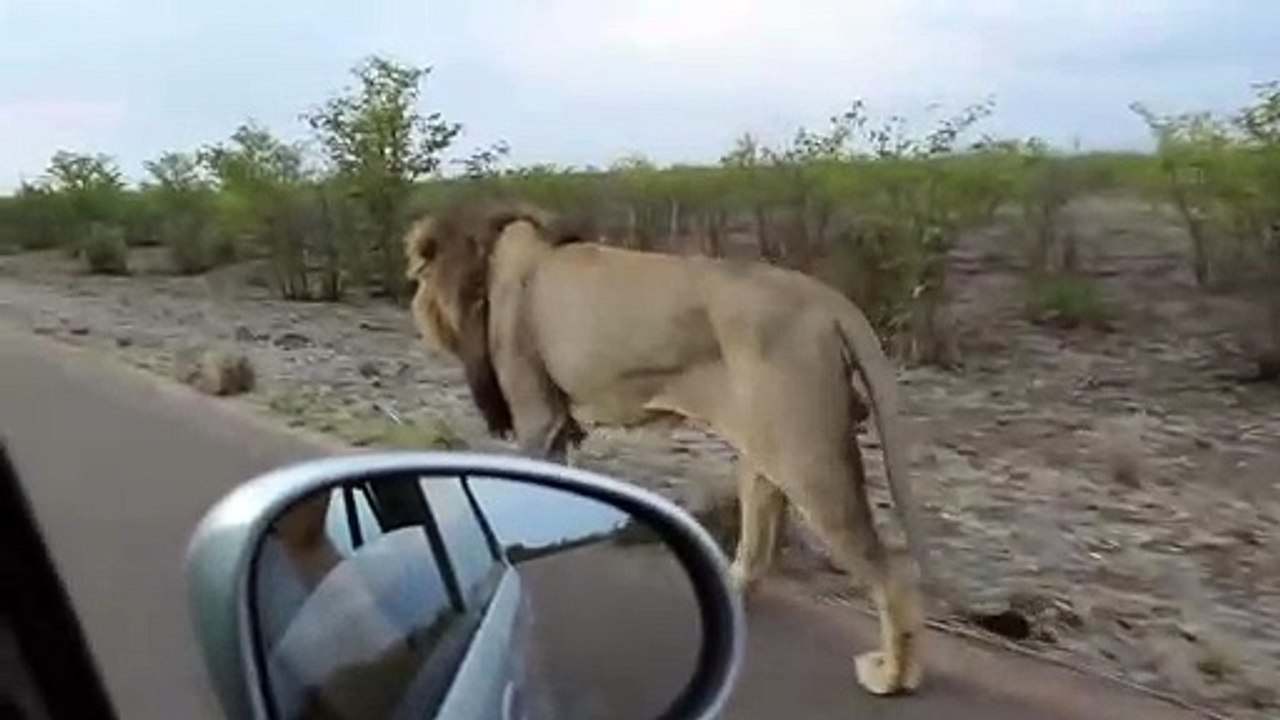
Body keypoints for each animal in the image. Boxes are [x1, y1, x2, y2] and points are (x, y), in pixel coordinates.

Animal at [402, 200, 928, 696]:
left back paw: (892, 675)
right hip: (765, 449)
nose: (416, 305)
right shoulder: (555, 420)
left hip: (807, 455)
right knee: (759, 543)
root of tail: (828, 301)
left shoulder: (537, 413)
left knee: (890, 574)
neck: (487, 262)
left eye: (420, 277)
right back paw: (729, 587)